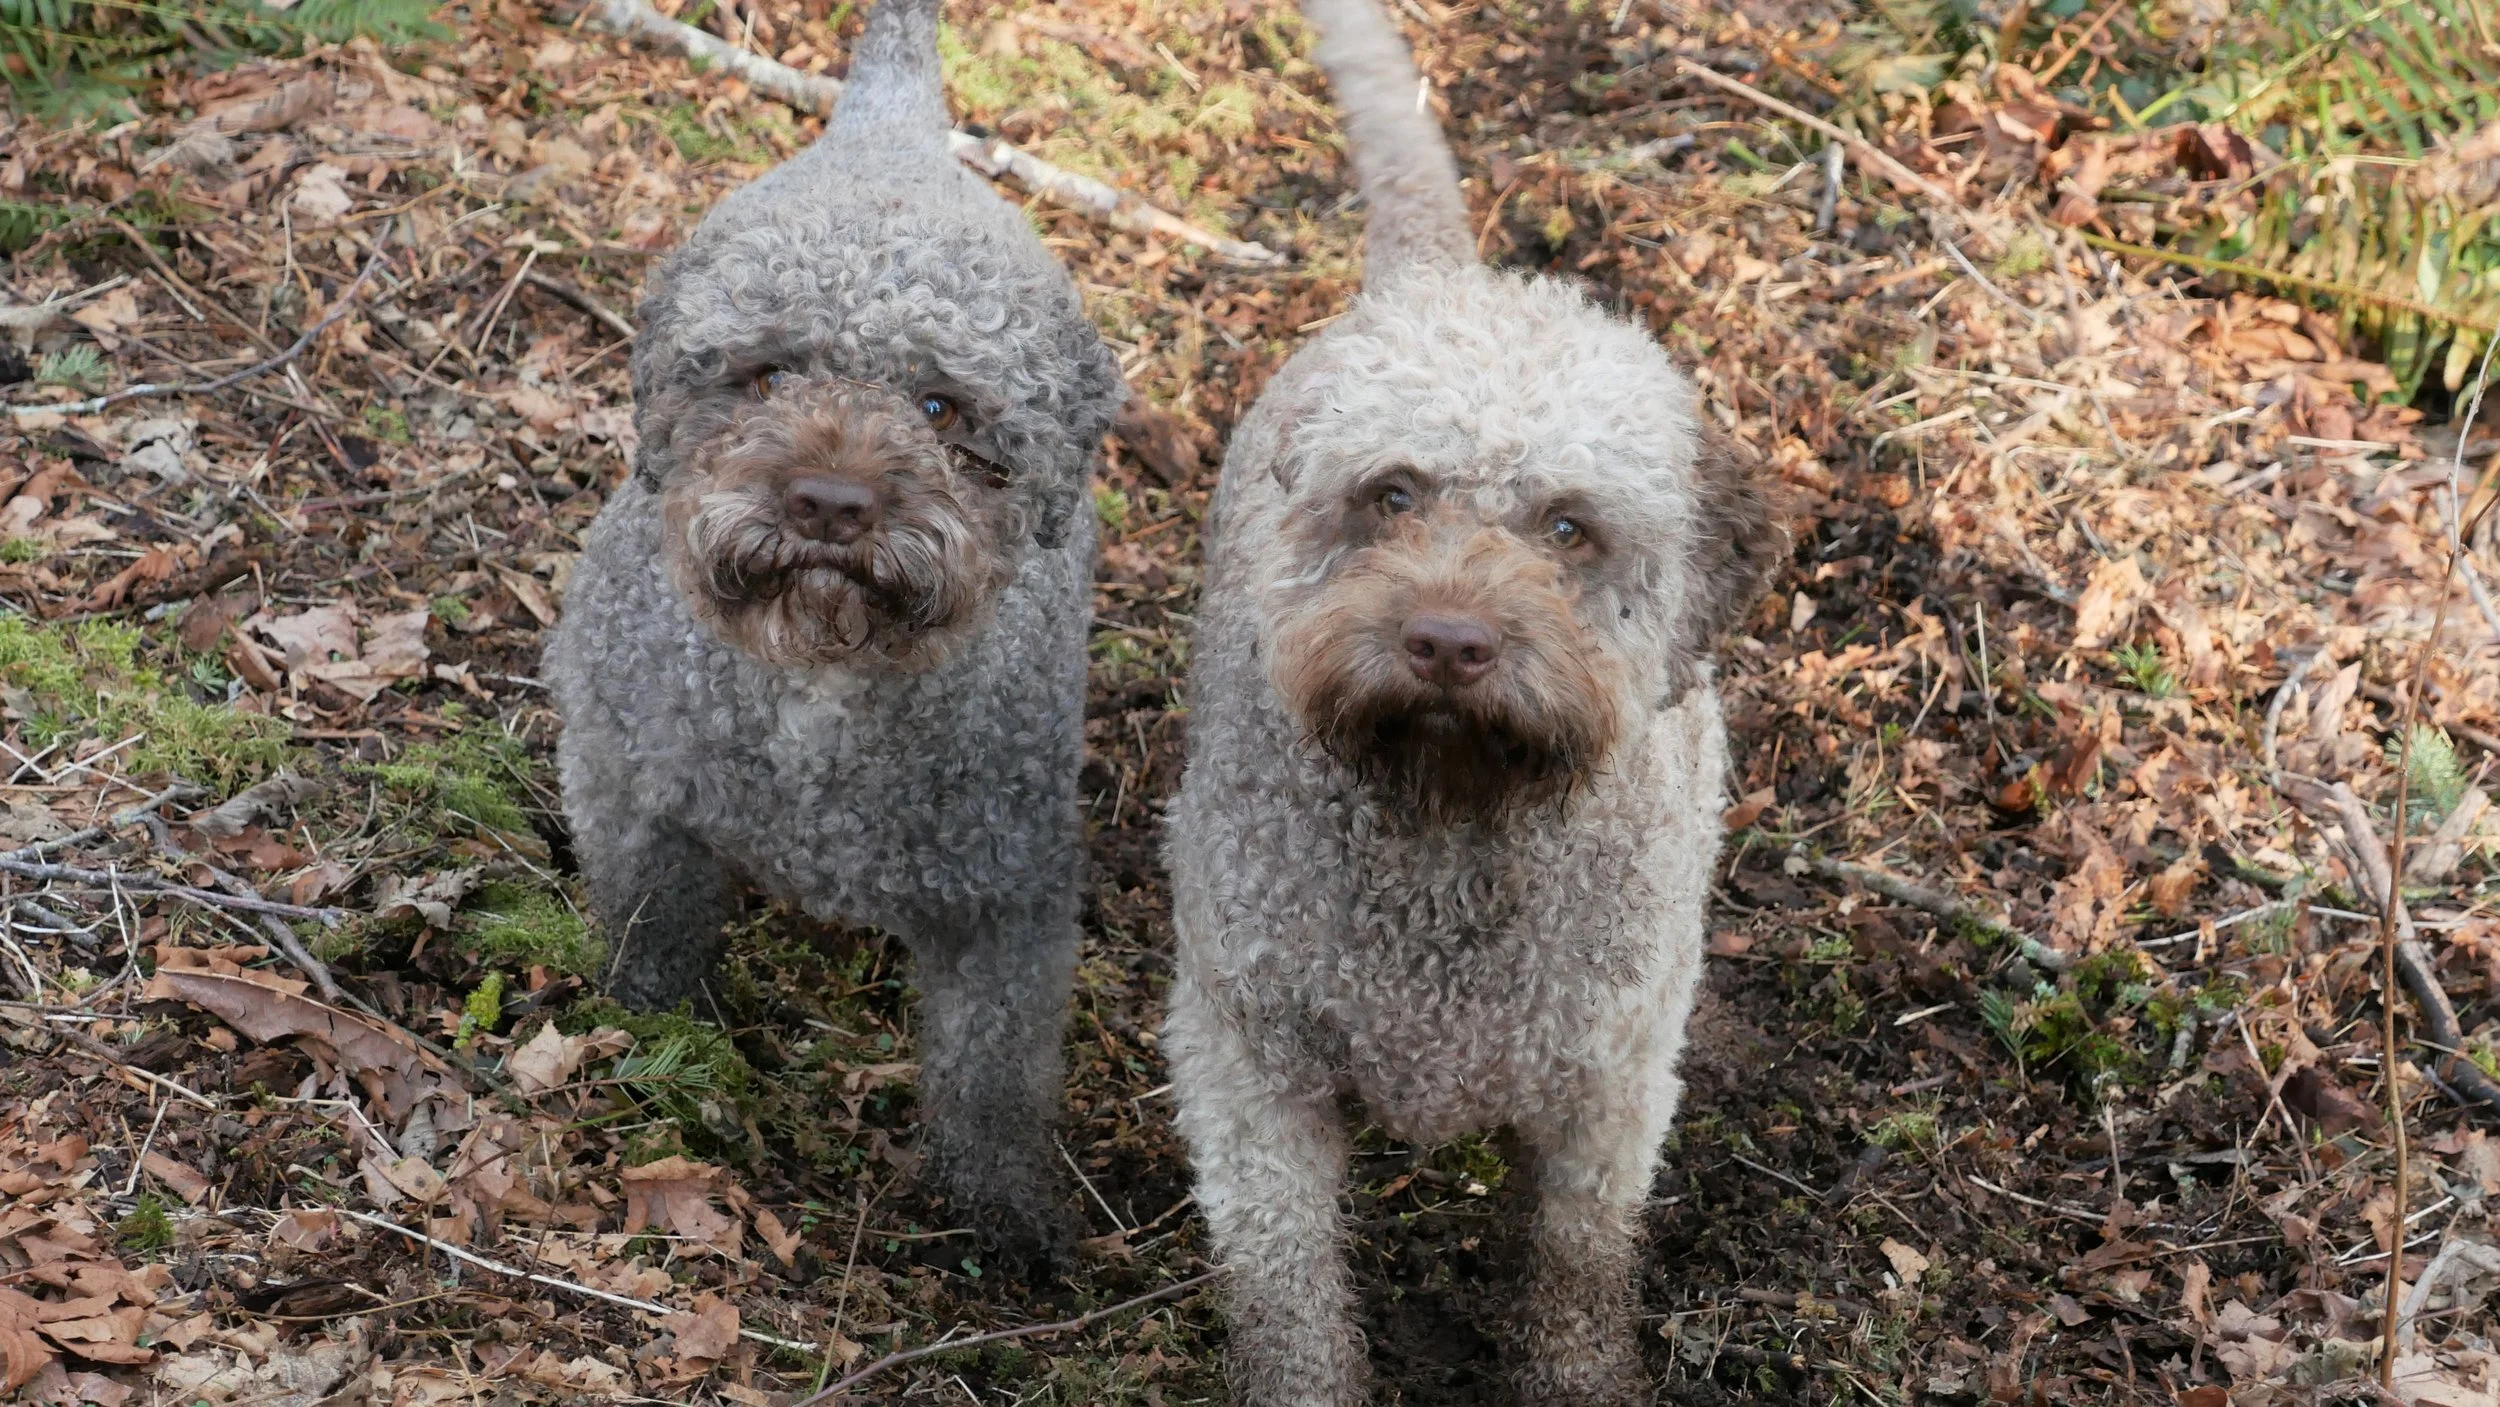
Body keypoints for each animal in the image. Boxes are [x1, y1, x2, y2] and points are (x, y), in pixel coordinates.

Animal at [543, 0, 1124, 1266]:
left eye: (942, 406)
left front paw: (1002, 1218)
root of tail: (890, 127)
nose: (828, 502)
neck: (819, 685)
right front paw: (654, 1049)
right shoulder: (634, 797)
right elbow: (650, 943)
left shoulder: (1007, 907)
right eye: (764, 374)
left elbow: (994, 1081)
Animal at [1158, 0, 1782, 1396]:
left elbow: (1575, 1266)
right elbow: (1285, 1283)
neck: (1450, 835)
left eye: (1568, 526)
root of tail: (1442, 280)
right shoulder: (1248, 1059)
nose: (1446, 642)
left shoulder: (1611, 1085)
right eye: (1392, 493)